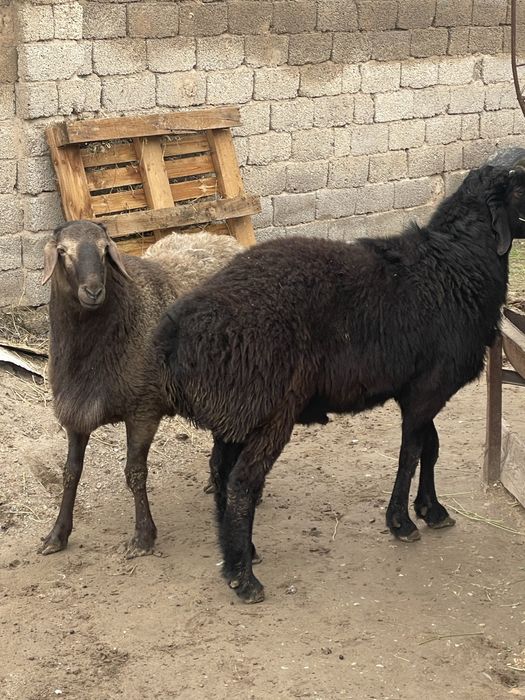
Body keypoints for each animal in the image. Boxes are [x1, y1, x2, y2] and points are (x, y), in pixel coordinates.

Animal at [39, 220, 241, 557]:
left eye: (105, 250)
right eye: (63, 251)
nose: (93, 291)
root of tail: (227, 241)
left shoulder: (143, 409)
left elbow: (135, 473)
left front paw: (143, 537)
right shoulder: (75, 411)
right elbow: (71, 473)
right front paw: (57, 535)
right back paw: (217, 479)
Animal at [155, 165, 525, 603]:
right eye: (522, 187)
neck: (456, 264)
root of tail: (180, 329)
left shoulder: (417, 388)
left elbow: (430, 449)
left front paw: (431, 511)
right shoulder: (428, 388)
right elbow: (412, 453)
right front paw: (401, 522)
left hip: (240, 412)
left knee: (220, 473)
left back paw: (237, 556)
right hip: (271, 410)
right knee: (243, 482)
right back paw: (244, 579)